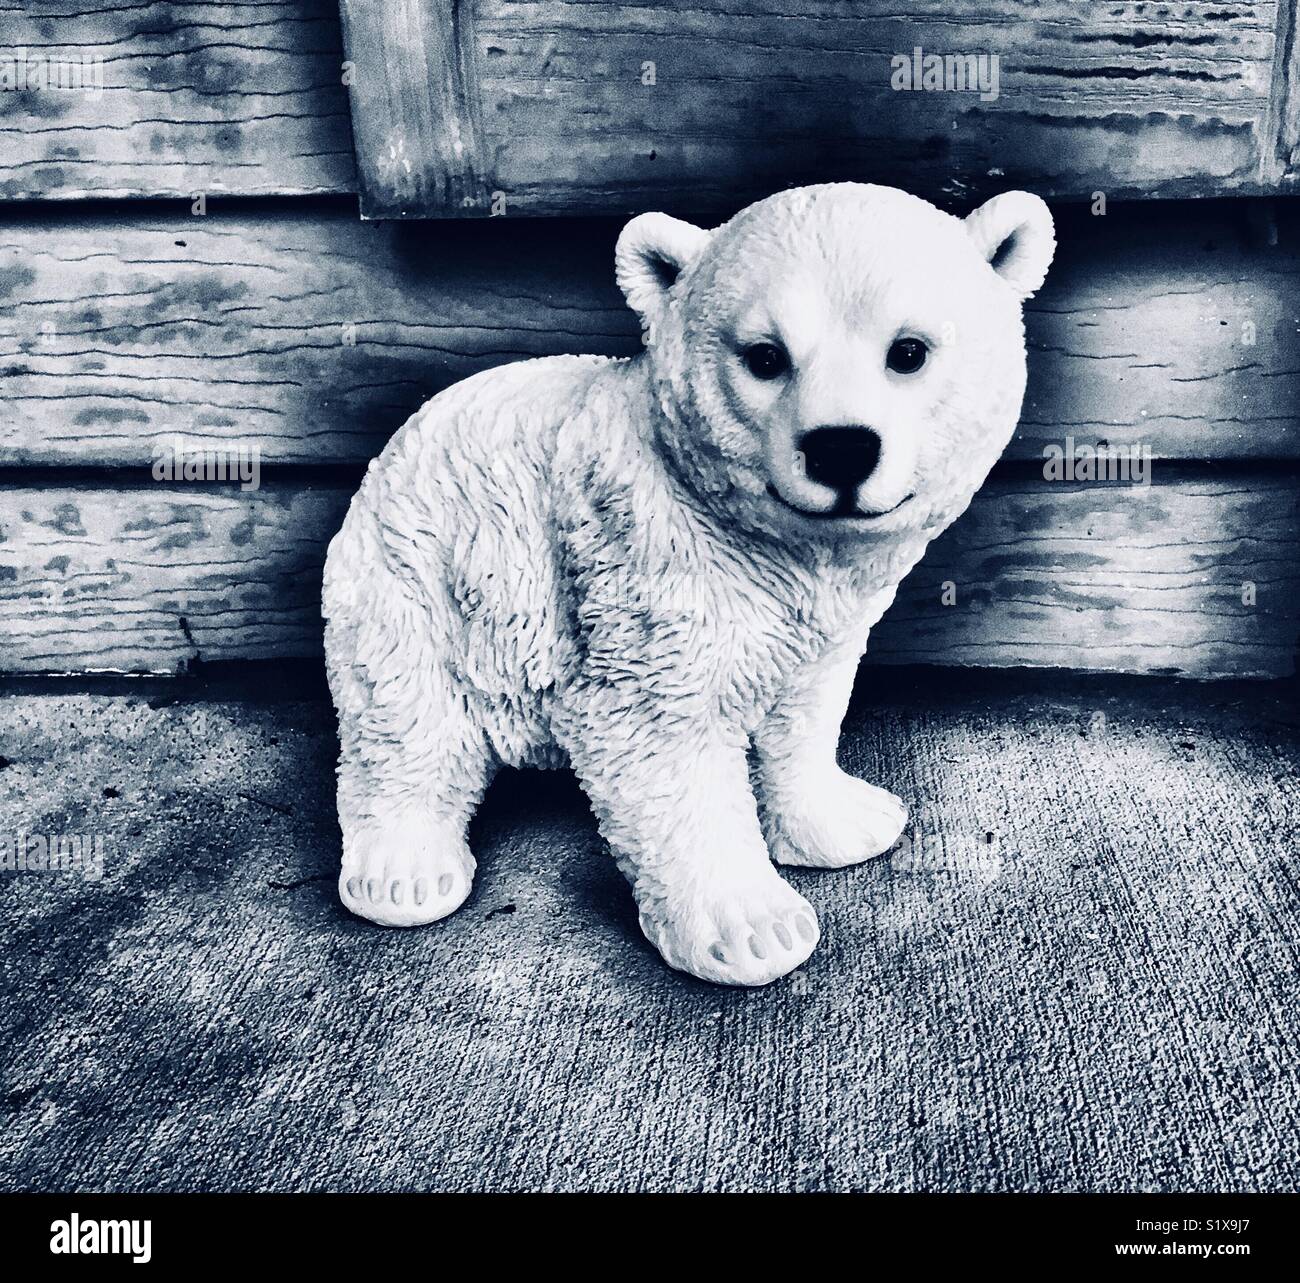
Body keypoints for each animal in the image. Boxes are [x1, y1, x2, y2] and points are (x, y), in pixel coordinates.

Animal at [322, 182, 1055, 986]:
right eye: (765, 356)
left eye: (909, 351)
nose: (840, 448)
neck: (762, 541)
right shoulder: (642, 572)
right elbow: (658, 737)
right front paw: (753, 928)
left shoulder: (819, 614)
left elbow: (808, 705)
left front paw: (845, 821)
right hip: (412, 572)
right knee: (404, 717)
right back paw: (403, 874)